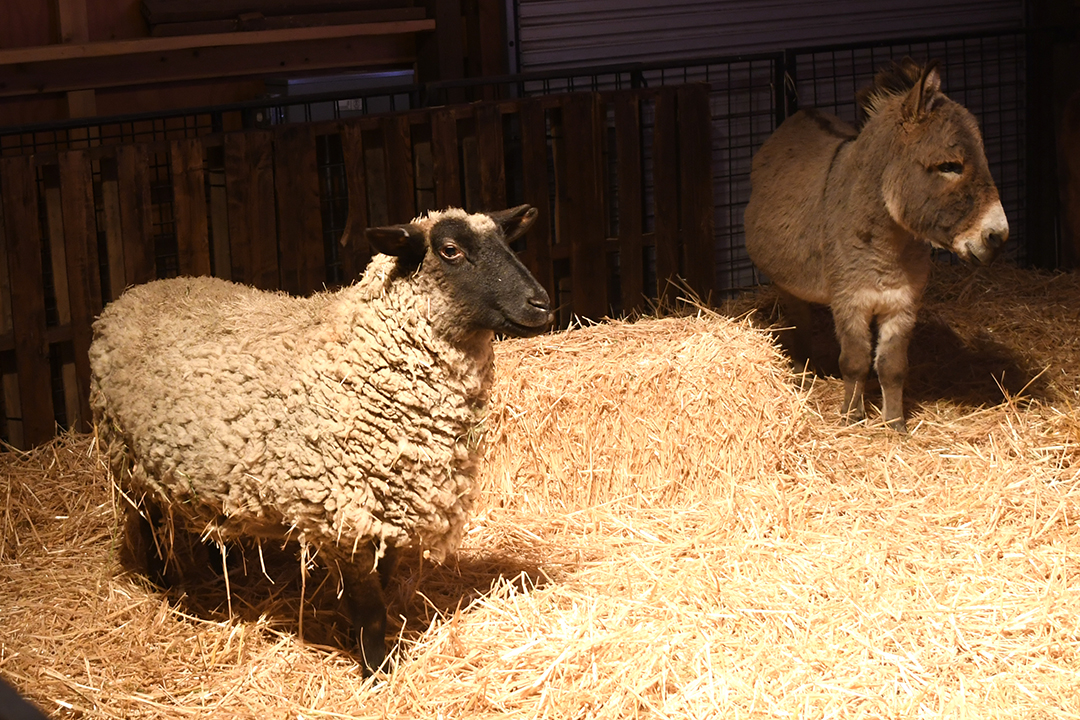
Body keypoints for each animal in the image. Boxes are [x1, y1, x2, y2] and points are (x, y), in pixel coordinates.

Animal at [88, 204, 552, 677]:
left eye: (506, 242)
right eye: (450, 250)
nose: (541, 304)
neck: (359, 355)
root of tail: (131, 294)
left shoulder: (386, 511)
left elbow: (382, 590)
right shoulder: (341, 514)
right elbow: (371, 609)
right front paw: (377, 674)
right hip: (125, 457)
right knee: (146, 523)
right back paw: (160, 585)